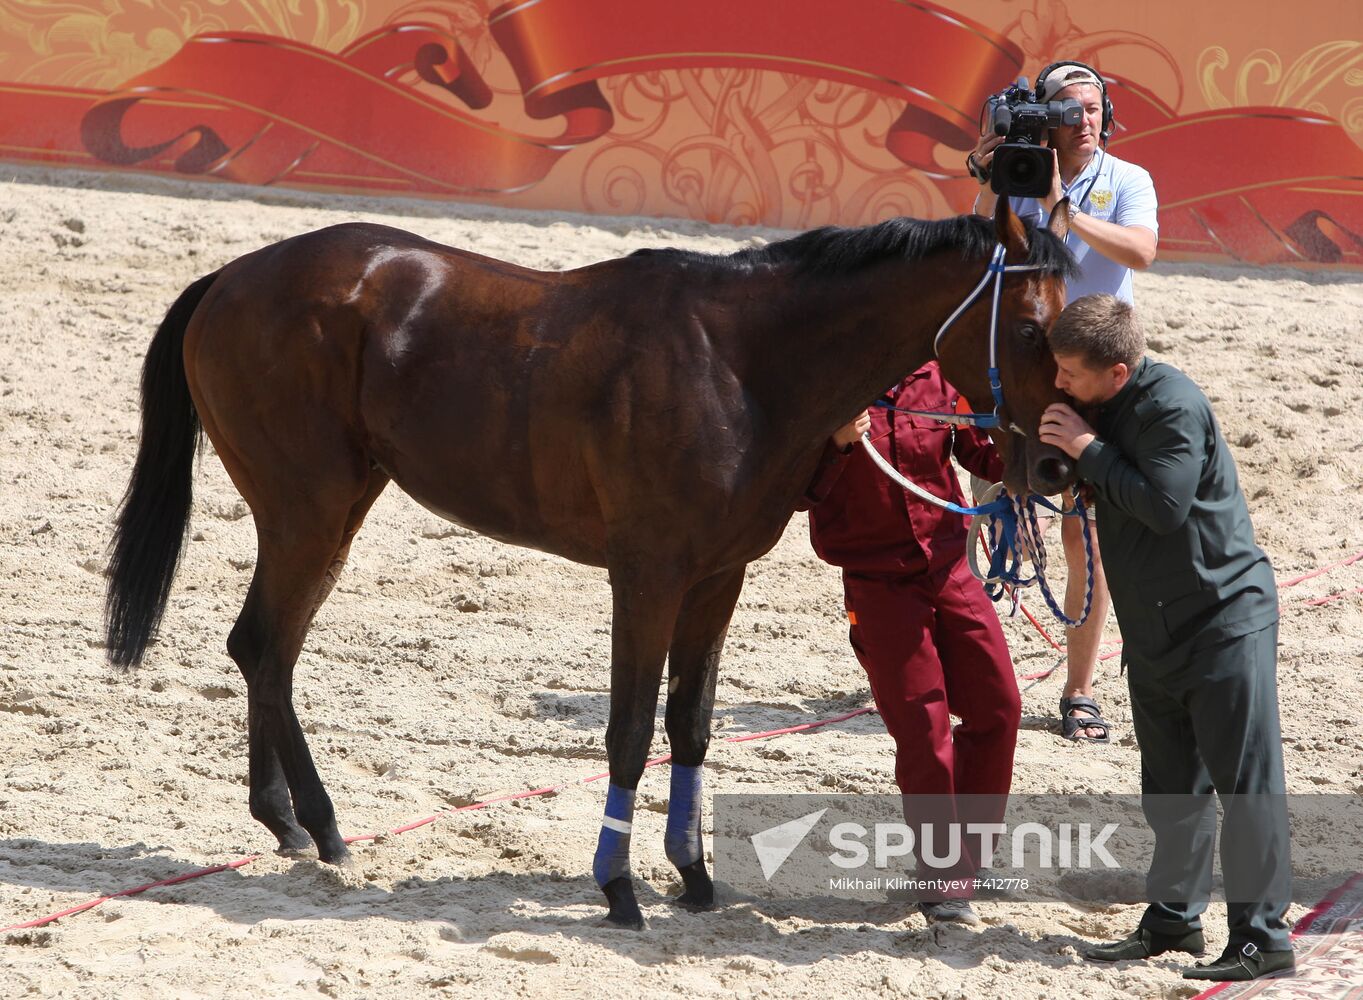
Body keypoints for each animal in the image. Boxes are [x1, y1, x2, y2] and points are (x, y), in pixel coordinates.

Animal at [105, 197, 1079, 930]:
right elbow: (630, 729)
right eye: (1034, 330)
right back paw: (320, 823)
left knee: (265, 648)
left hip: (335, 512)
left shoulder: (717, 578)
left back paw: (288, 823)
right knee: (264, 646)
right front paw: (617, 887)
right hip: (306, 511)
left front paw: (692, 875)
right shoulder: (646, 576)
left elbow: (690, 724)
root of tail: (232, 277)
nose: (1056, 466)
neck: (739, 364)